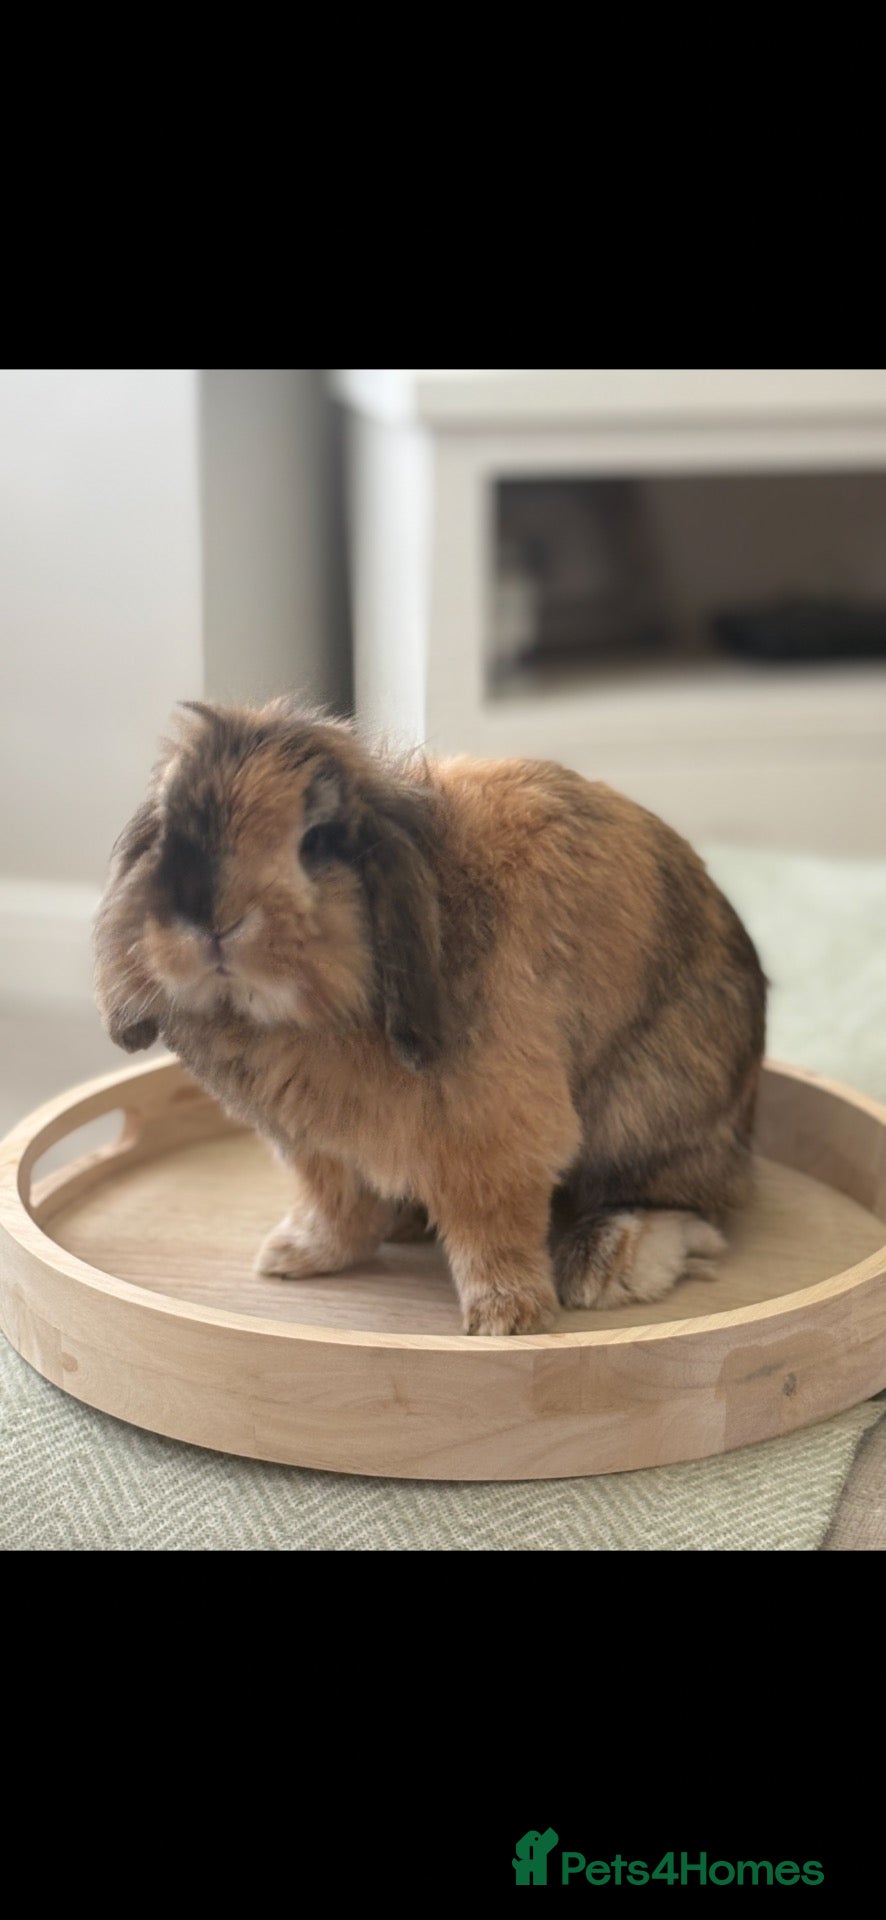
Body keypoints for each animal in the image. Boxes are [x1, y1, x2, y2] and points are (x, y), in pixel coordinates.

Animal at [94, 698, 767, 1336]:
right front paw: (291, 1257)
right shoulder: (320, 1147)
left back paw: (605, 1264)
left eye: (315, 841)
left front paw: (506, 1318)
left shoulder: (492, 1137)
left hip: (647, 1110)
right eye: (167, 833)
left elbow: (491, 1228)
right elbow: (334, 1206)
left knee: (689, 1206)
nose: (210, 918)